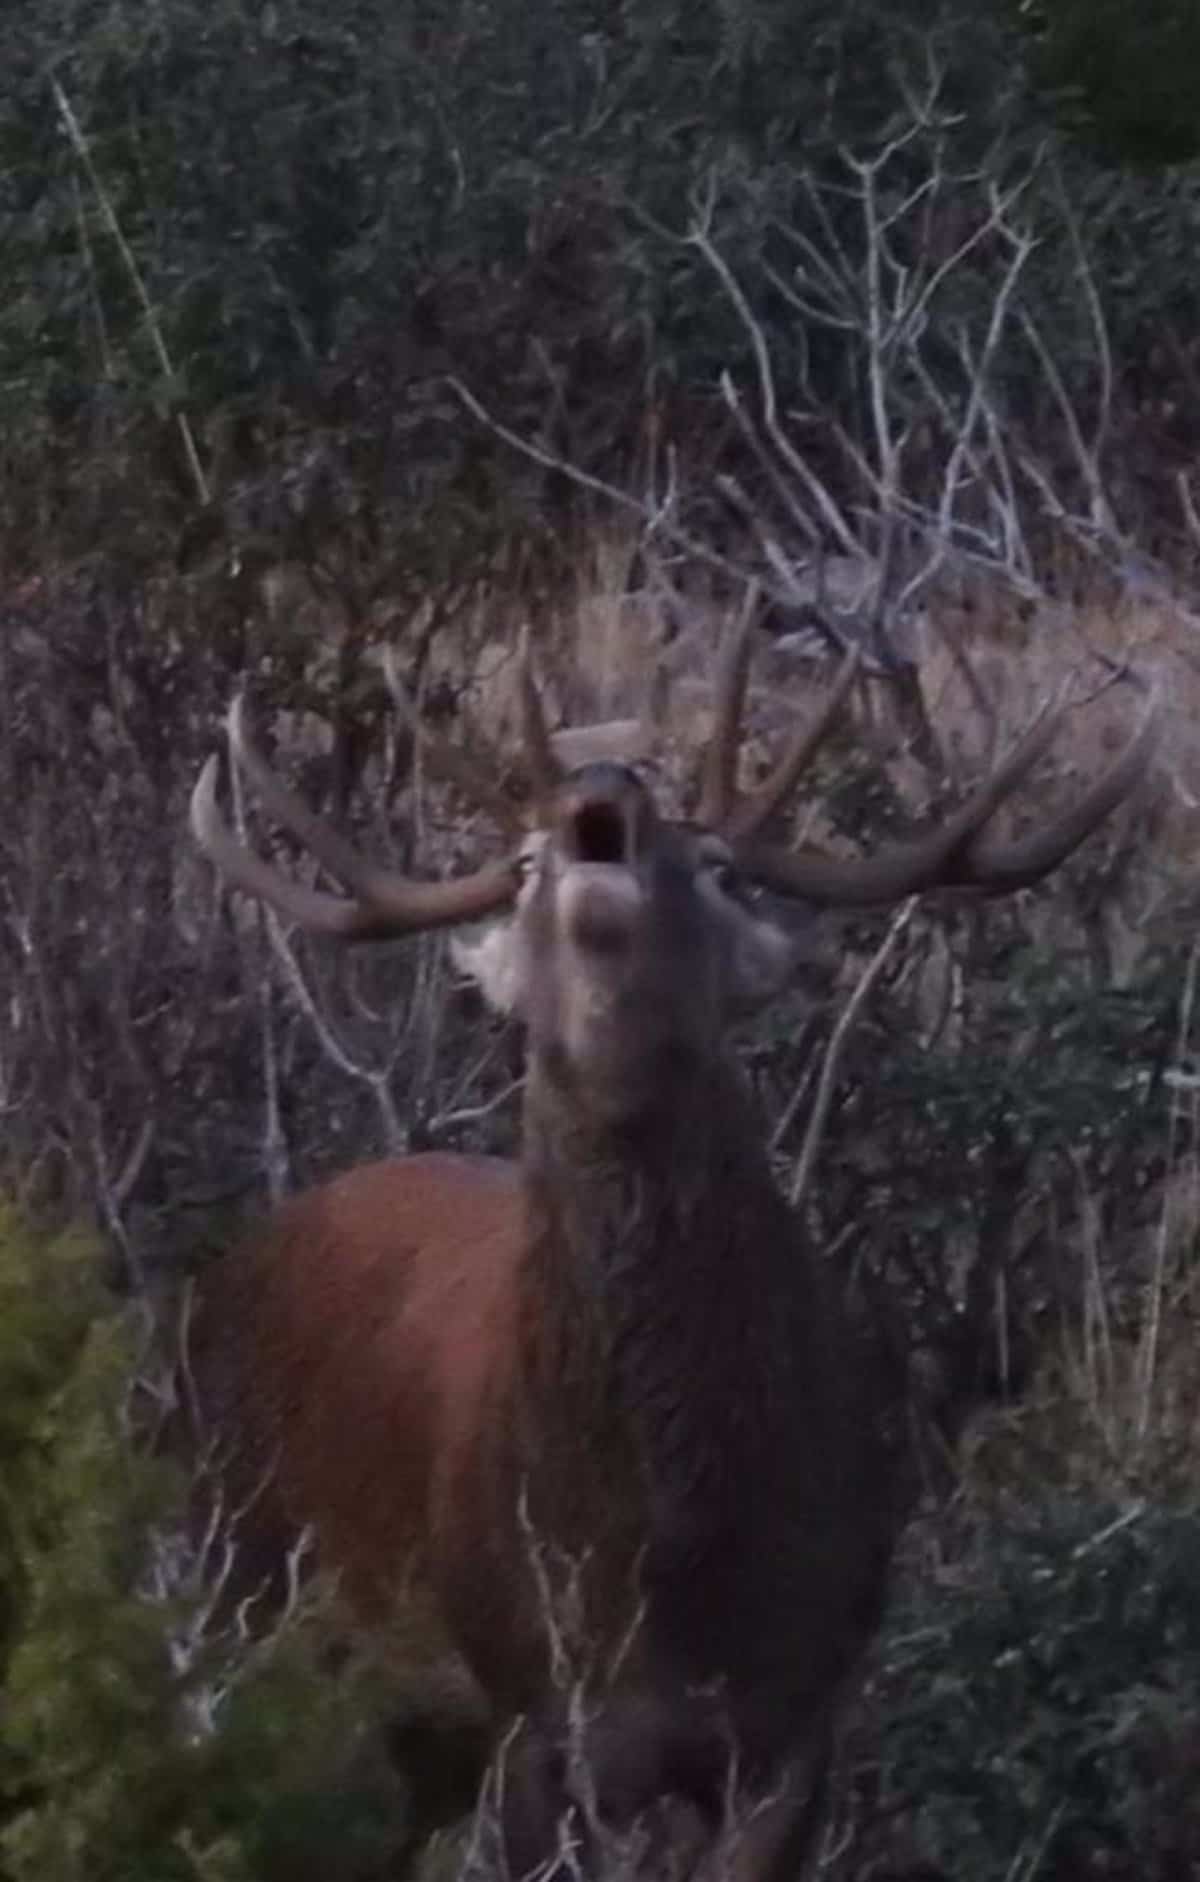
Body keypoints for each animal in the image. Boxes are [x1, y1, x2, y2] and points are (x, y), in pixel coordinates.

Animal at [188, 621, 1156, 1881]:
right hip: (237, 1573)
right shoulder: (533, 1703)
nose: (600, 790)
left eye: (718, 865)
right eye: (523, 864)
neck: (664, 1563)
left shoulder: (796, 1715)